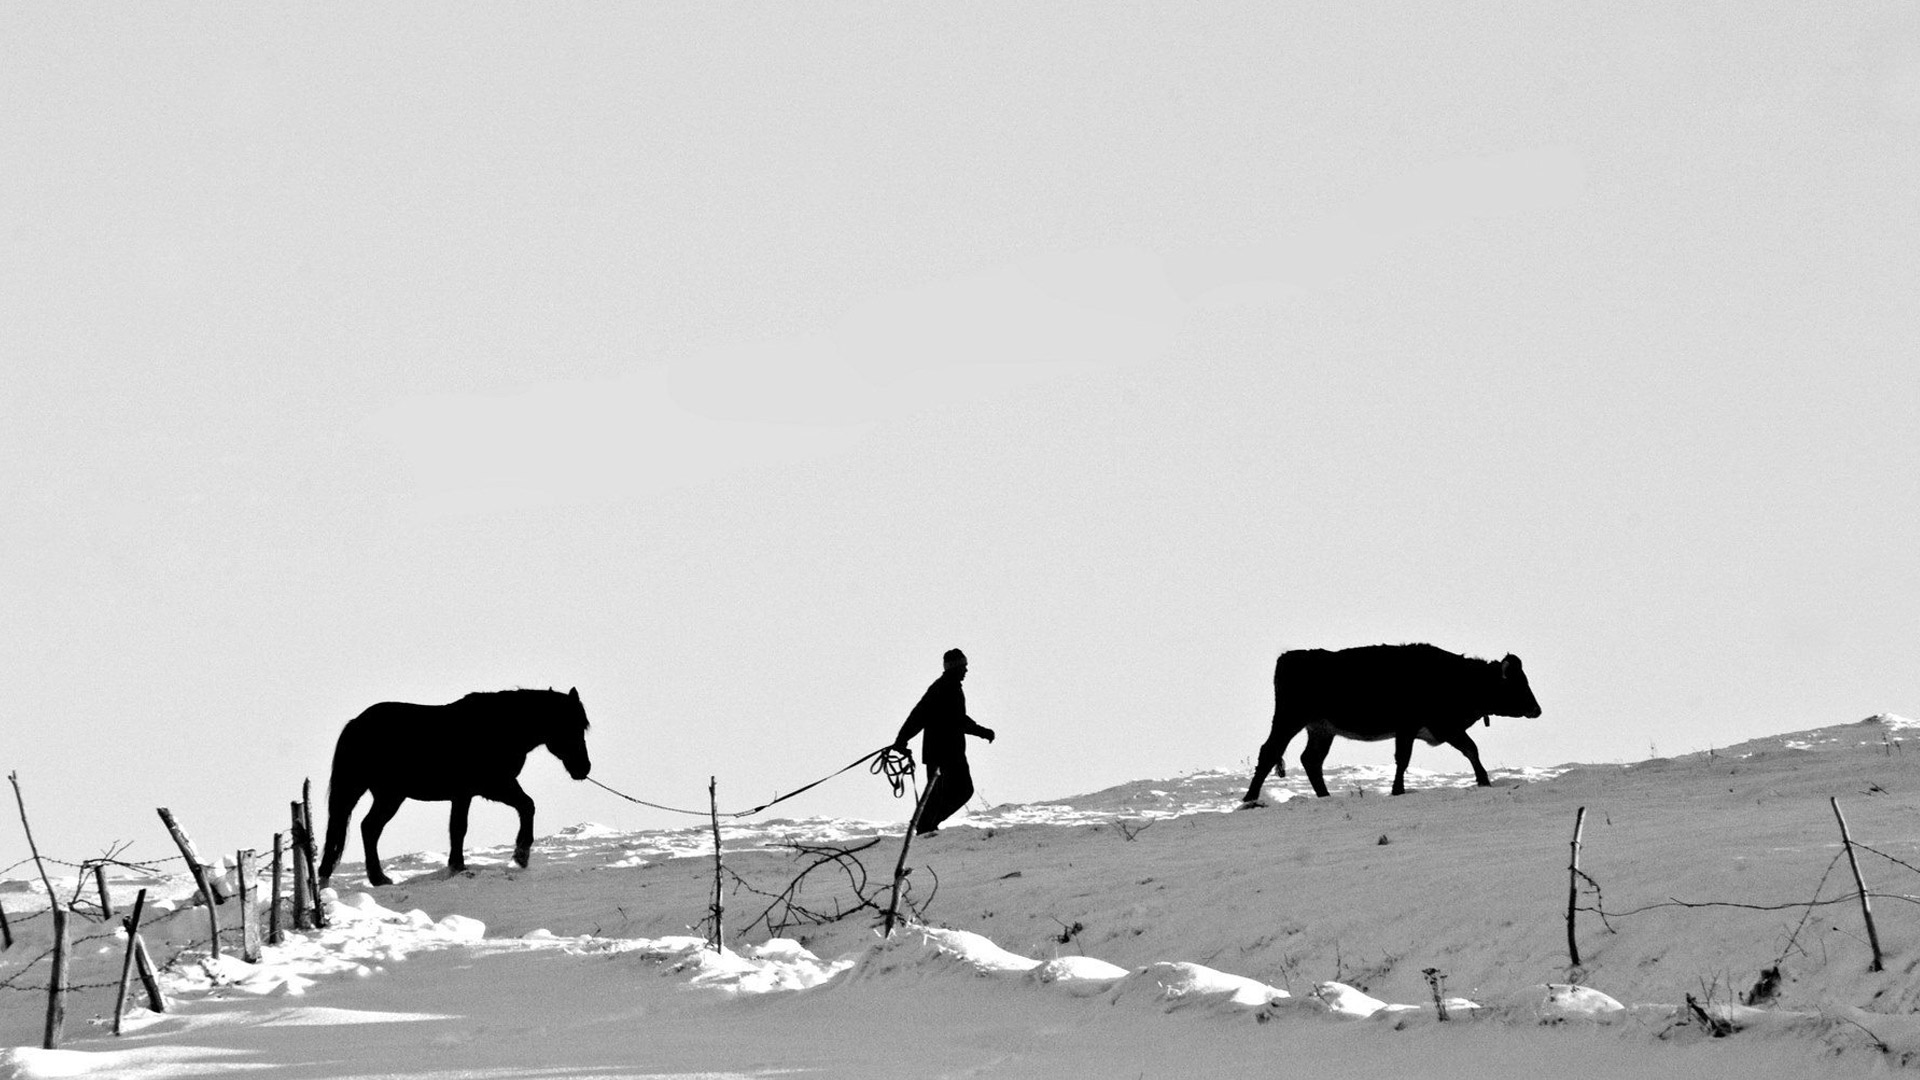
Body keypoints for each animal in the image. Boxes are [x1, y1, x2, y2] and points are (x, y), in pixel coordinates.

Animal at [317, 687, 593, 887]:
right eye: (569, 726)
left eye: (582, 726)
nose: (584, 768)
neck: (500, 728)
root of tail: (356, 723)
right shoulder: (492, 787)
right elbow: (523, 807)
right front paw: (520, 855)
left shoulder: (471, 793)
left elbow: (461, 828)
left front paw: (458, 865)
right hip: (374, 792)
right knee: (360, 829)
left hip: (385, 794)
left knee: (368, 828)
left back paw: (369, 878)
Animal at [1239, 643, 1542, 804]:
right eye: (1518, 684)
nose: (1537, 710)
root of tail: (1289, 657)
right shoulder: (1412, 727)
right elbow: (1404, 759)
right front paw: (1398, 791)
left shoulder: (1442, 728)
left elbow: (1470, 750)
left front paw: (1484, 781)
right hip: (1289, 720)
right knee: (1270, 752)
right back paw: (1249, 799)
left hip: (1321, 730)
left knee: (1311, 760)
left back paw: (1325, 796)